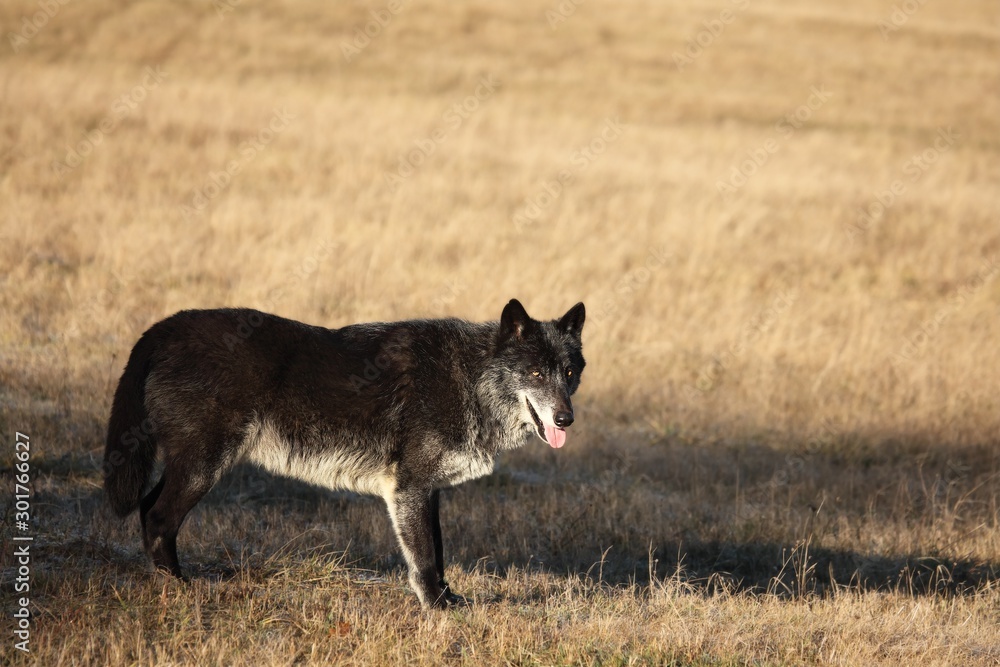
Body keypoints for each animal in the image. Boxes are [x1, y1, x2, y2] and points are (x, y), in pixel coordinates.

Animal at [103, 299, 585, 608]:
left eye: (568, 373)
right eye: (535, 373)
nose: (565, 419)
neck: (468, 378)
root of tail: (164, 328)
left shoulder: (426, 492)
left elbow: (439, 550)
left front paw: (450, 599)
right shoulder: (408, 490)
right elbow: (424, 558)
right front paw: (437, 608)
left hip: (191, 465)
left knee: (148, 509)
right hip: (203, 467)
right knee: (158, 516)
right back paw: (179, 587)